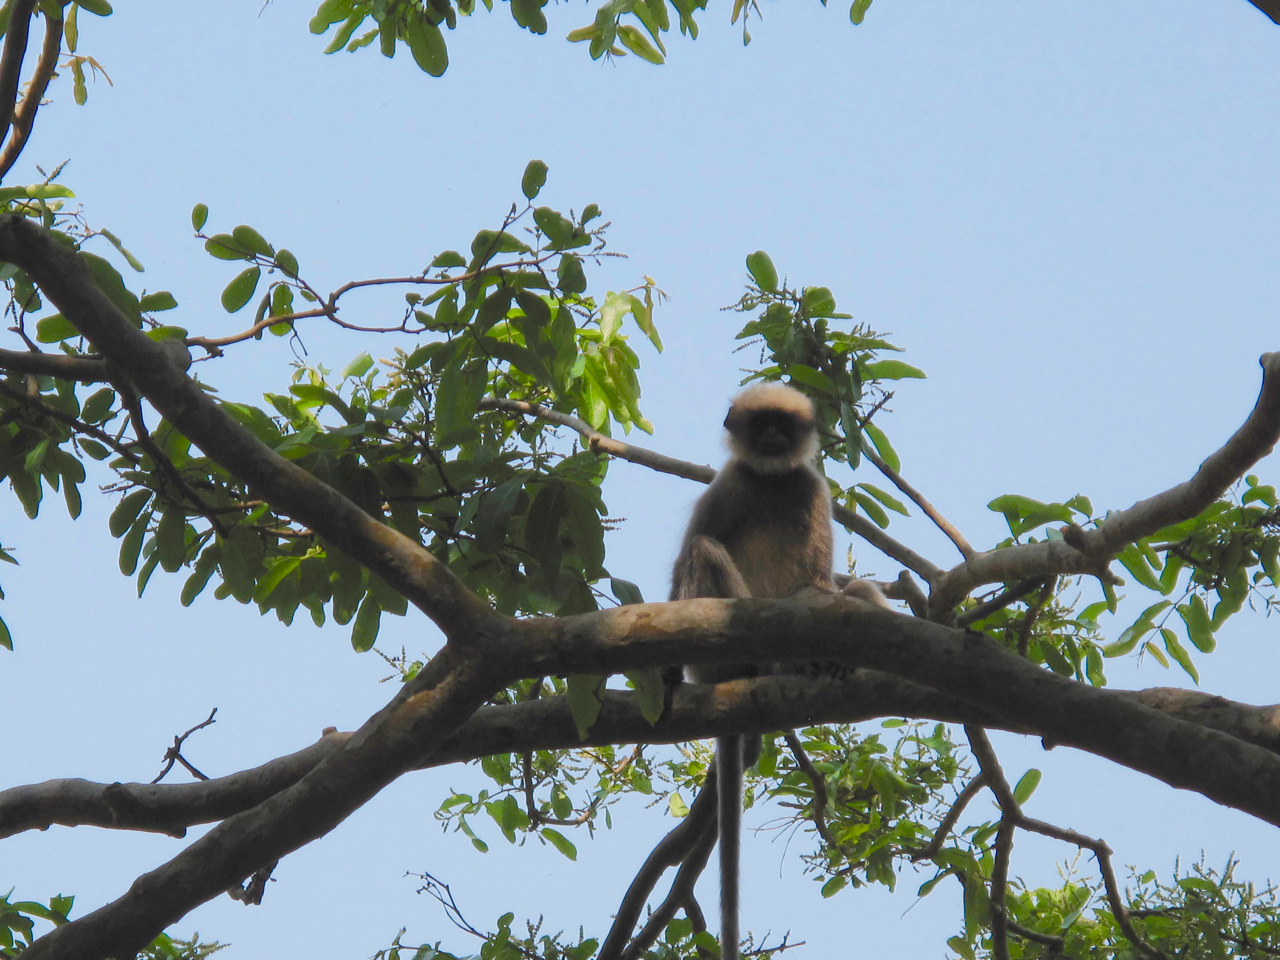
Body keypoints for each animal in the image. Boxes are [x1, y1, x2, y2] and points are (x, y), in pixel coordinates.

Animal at [669, 382, 888, 960]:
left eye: (783, 427)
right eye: (762, 423)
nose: (771, 437)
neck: (770, 478)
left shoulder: (811, 487)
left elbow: (821, 580)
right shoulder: (729, 483)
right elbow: (686, 559)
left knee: (852, 592)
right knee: (704, 549)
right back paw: (773, 661)